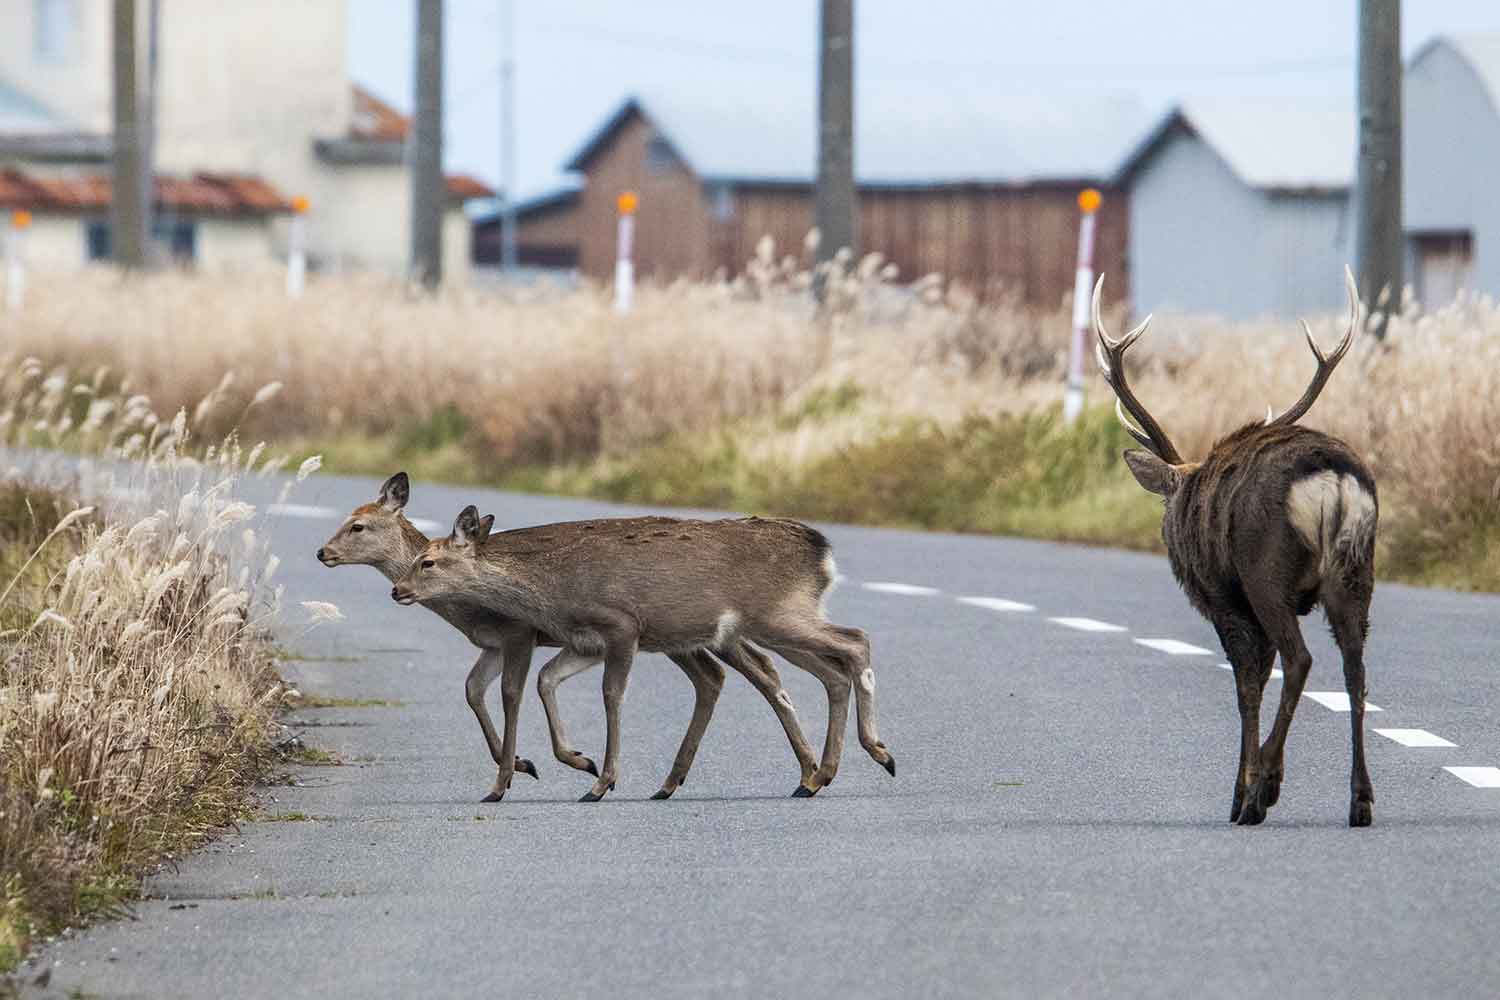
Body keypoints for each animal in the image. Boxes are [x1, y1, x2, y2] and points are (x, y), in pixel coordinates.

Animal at [315, 473, 822, 803]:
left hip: (707, 631)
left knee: (760, 671)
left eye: (358, 525)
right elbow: (476, 691)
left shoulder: (518, 633)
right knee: (725, 675)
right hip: (689, 639)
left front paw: (513, 775)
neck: (466, 610)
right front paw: (540, 762)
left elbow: (511, 693)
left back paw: (807, 771)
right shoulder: (497, 644)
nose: (322, 552)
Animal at [393, 509, 894, 803]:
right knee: (830, 668)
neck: (551, 587)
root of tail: (823, 553)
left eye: (428, 562)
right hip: (769, 625)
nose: (397, 590)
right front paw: (584, 764)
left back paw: (874, 753)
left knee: (855, 641)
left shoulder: (621, 625)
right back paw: (819, 774)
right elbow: (549, 681)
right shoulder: (583, 640)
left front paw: (602, 781)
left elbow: (612, 695)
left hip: (775, 615)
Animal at [1092, 268, 1380, 827]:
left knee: (1300, 659)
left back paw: (1263, 791)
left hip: (1266, 571)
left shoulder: (1226, 600)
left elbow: (1248, 683)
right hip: (1357, 569)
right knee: (1355, 668)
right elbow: (1259, 678)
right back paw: (1360, 799)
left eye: (1168, 507)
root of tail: (1333, 480)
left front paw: (1239, 792)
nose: (1169, 532)